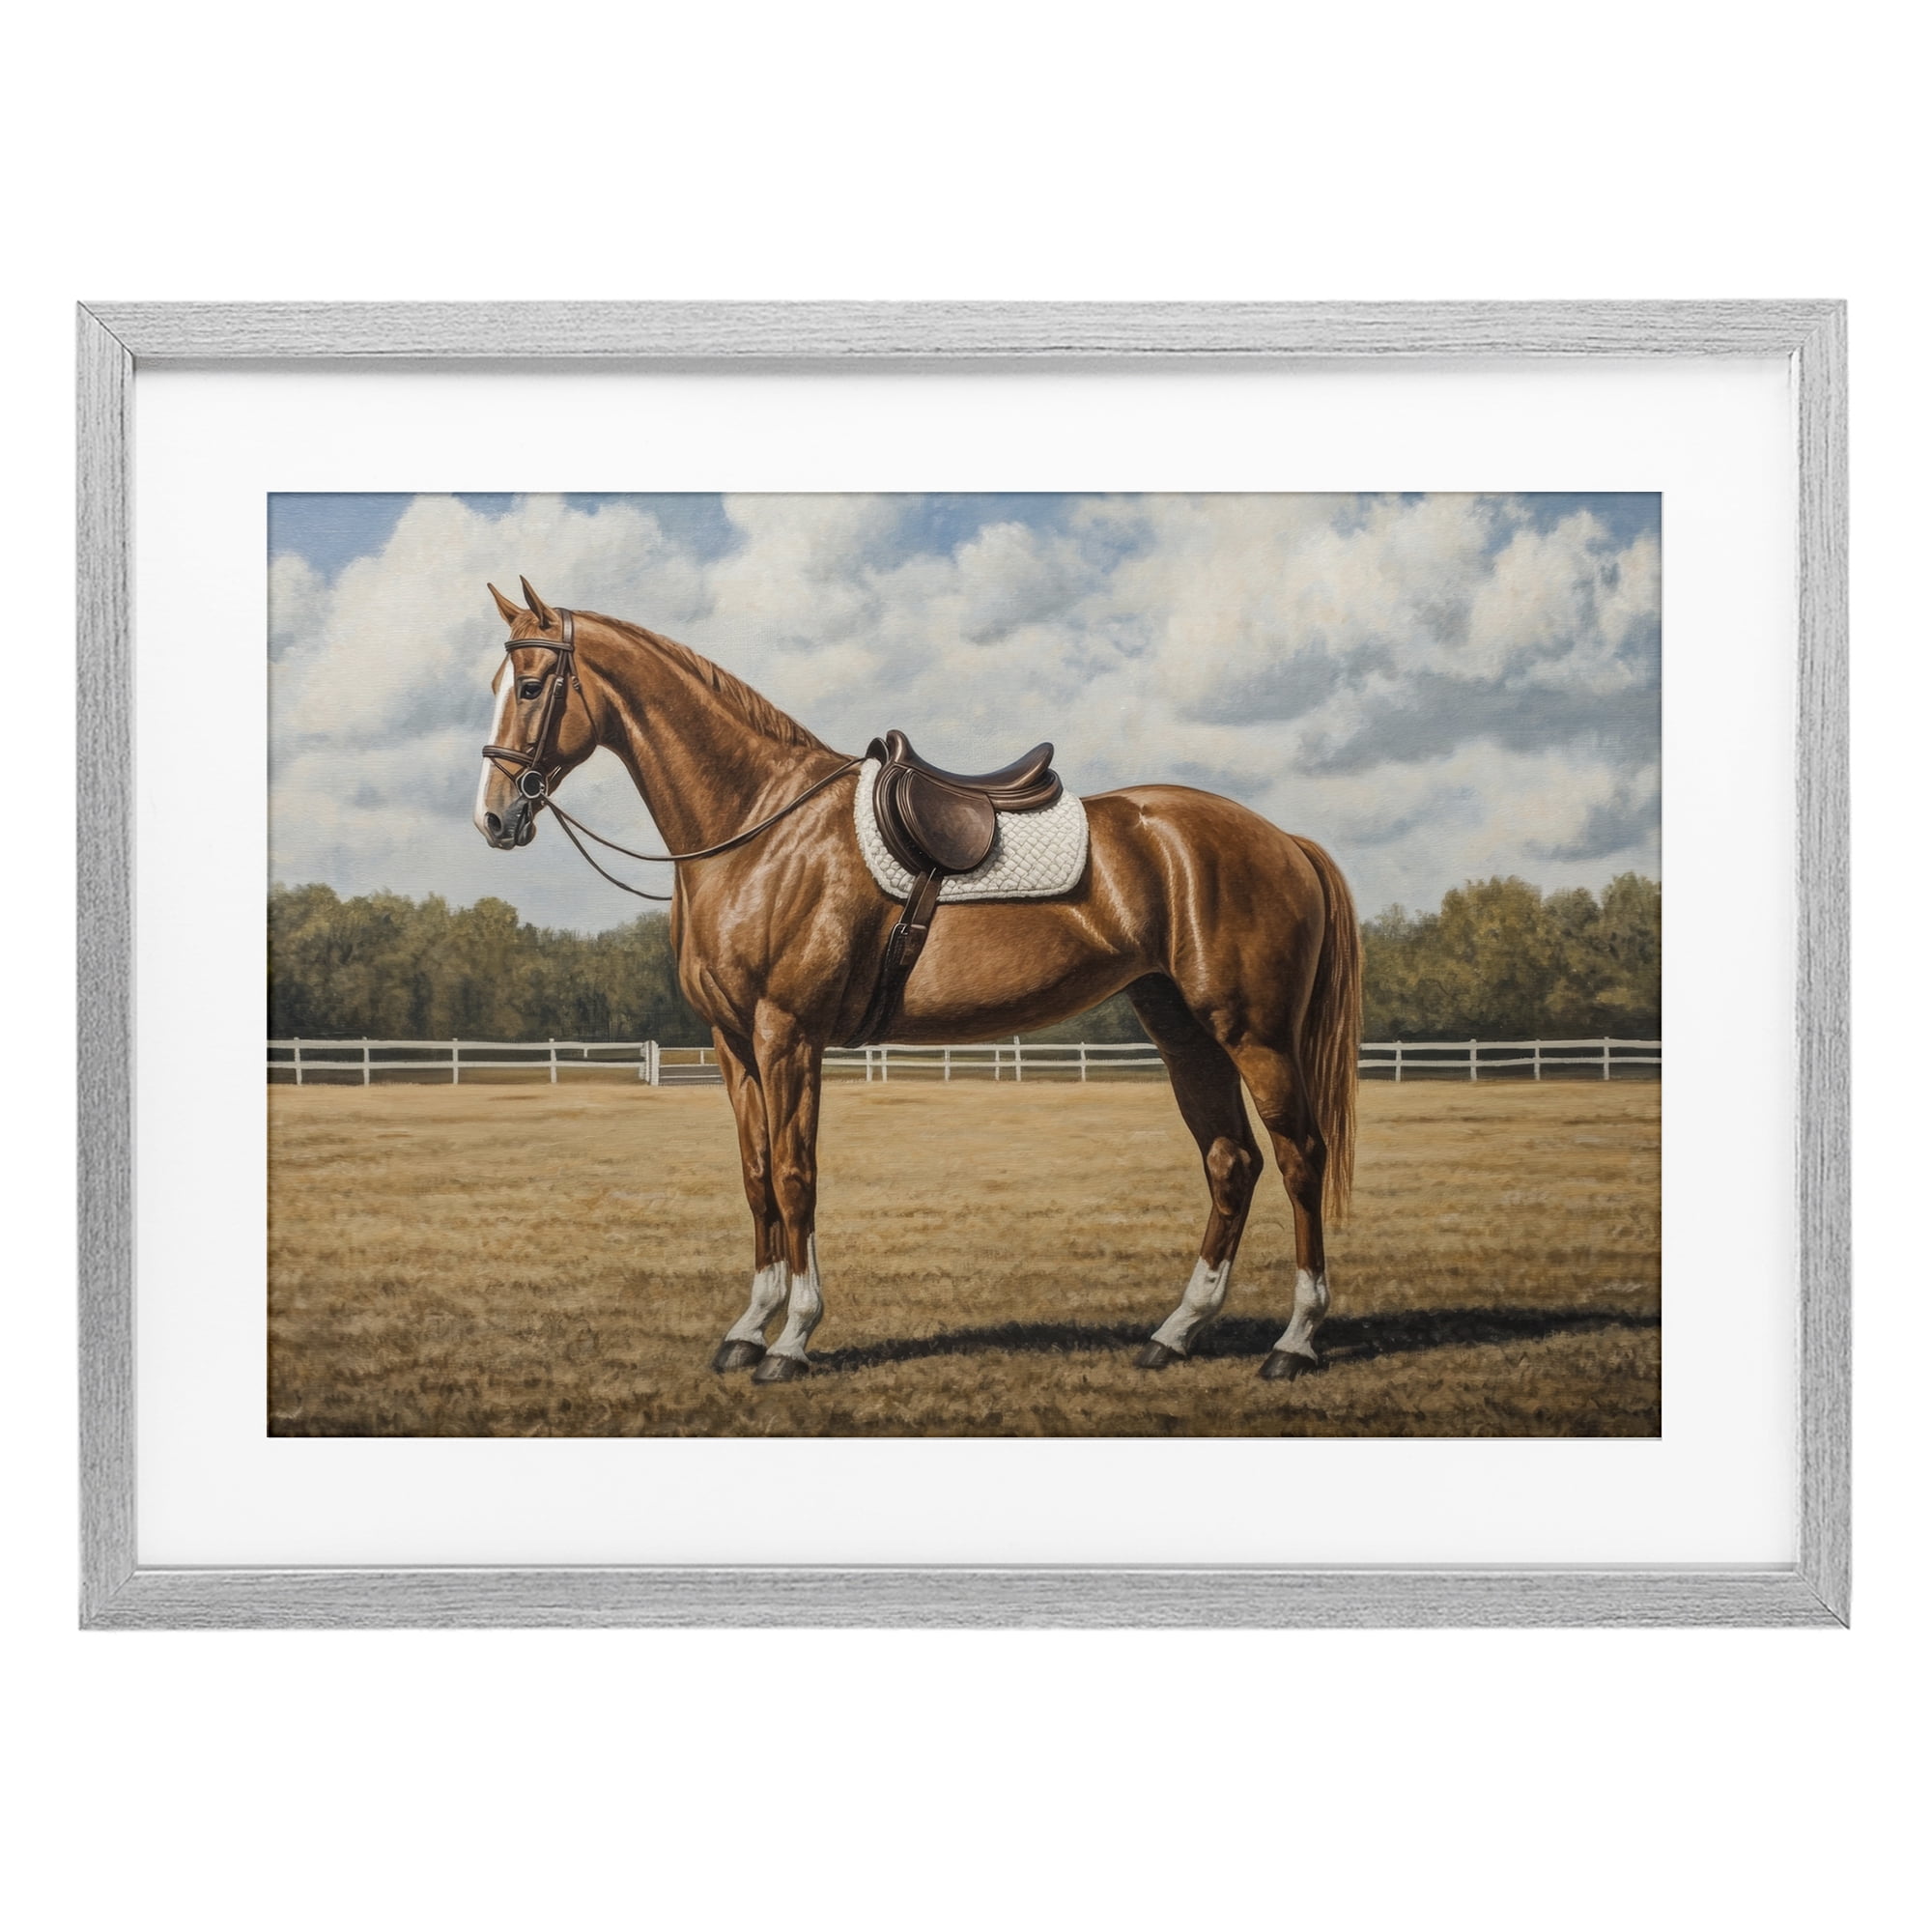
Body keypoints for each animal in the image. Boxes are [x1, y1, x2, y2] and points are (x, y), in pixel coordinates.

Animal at [474, 578, 1361, 1385]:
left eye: (530, 686)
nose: (494, 818)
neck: (760, 829)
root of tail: (1282, 838)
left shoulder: (787, 1033)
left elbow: (795, 1176)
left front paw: (792, 1339)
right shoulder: (732, 1042)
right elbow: (757, 1177)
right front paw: (747, 1329)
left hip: (1254, 1033)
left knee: (1299, 1156)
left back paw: (1293, 1342)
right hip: (1182, 1030)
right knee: (1231, 1162)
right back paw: (1175, 1333)